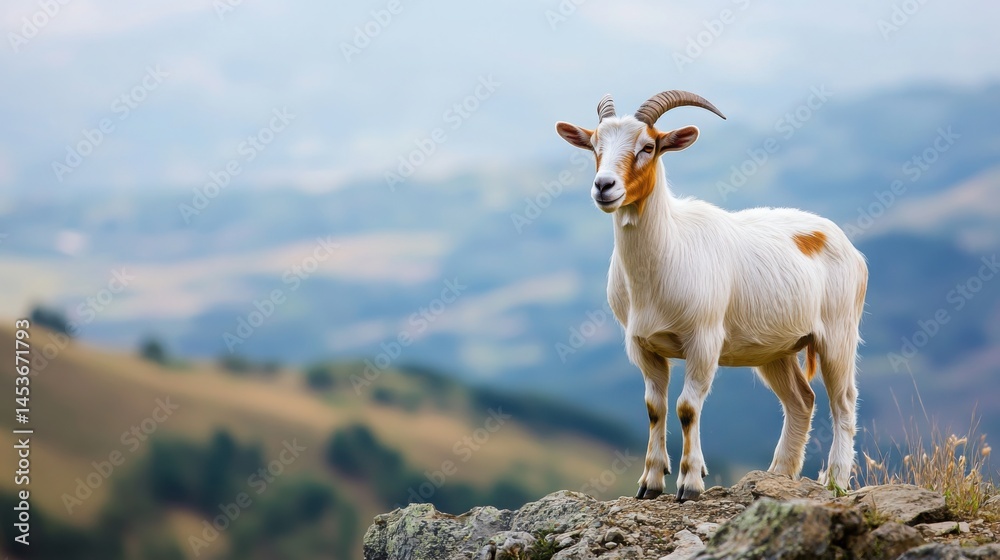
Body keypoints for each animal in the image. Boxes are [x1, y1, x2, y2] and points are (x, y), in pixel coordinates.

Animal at [555, 91, 867, 501]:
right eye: (595, 146)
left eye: (648, 147)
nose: (604, 186)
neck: (668, 251)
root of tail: (844, 242)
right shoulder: (641, 344)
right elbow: (655, 407)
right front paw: (650, 482)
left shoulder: (703, 339)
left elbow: (688, 407)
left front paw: (690, 483)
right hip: (775, 349)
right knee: (801, 401)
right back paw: (779, 475)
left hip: (838, 333)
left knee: (843, 401)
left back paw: (835, 480)